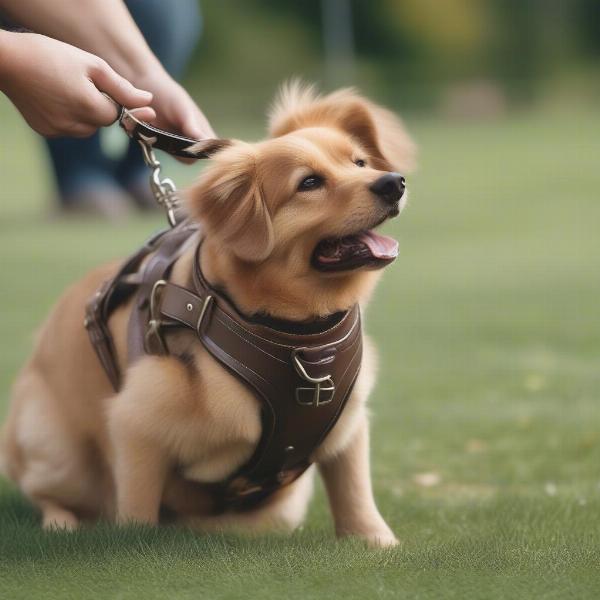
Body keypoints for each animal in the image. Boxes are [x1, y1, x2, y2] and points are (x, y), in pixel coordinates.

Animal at [1, 83, 412, 548]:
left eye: (359, 162)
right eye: (309, 182)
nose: (394, 182)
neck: (297, 336)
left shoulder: (350, 421)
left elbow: (354, 489)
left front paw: (375, 541)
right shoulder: (135, 420)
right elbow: (137, 509)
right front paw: (130, 544)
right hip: (58, 453)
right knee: (47, 495)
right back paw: (62, 522)